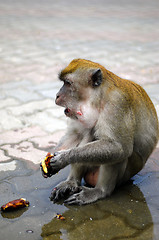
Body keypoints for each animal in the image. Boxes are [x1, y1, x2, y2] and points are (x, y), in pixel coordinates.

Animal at [44, 59, 158, 205]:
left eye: (68, 83)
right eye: (64, 82)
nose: (57, 95)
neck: (99, 98)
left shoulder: (117, 104)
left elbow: (119, 148)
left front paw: (64, 158)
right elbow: (76, 134)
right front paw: (49, 158)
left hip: (124, 176)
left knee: (116, 152)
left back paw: (100, 191)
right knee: (89, 132)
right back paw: (72, 183)